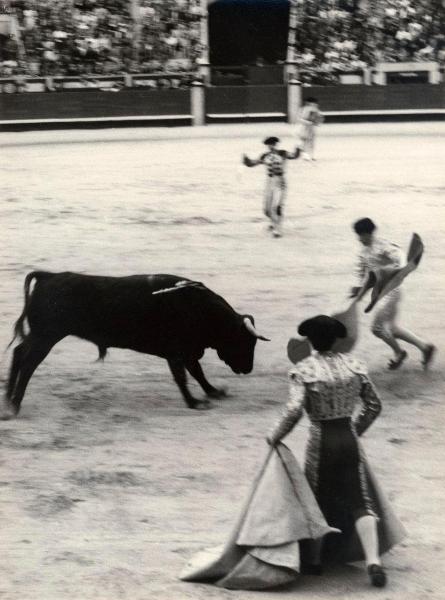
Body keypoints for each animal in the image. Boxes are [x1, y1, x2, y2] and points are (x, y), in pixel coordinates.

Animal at [1, 270, 268, 420]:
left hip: (40, 336)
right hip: (46, 337)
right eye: (245, 341)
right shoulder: (177, 352)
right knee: (28, 364)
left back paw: (8, 401)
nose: (248, 369)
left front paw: (214, 392)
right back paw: (14, 406)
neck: (199, 308)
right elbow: (183, 377)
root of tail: (49, 276)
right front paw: (194, 403)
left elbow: (198, 374)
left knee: (18, 354)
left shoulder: (186, 353)